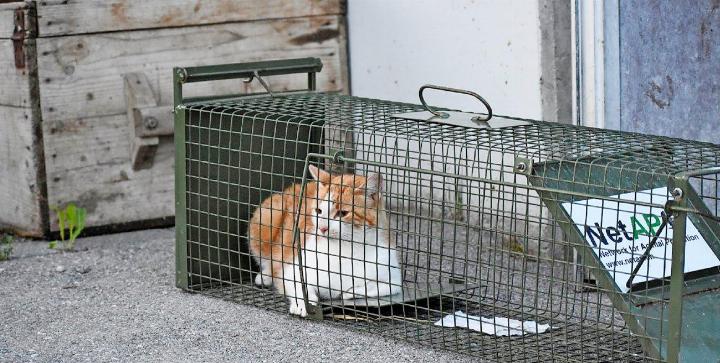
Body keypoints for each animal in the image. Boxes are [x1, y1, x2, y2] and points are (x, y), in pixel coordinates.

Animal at [249, 166, 402, 318]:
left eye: (343, 213)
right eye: (319, 210)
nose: (322, 228)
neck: (345, 249)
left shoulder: (394, 280)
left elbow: (375, 287)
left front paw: (349, 292)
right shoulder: (294, 267)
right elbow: (300, 287)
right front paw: (302, 305)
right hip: (267, 218)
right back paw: (265, 276)